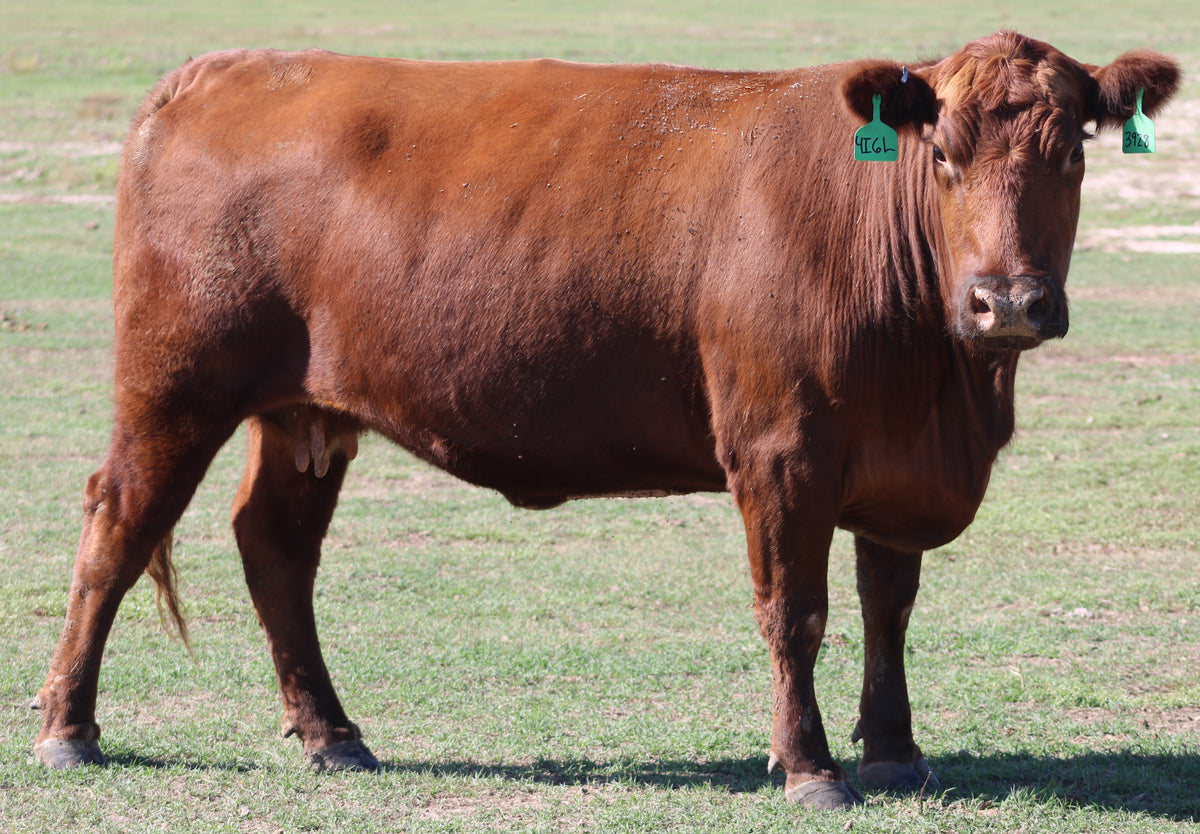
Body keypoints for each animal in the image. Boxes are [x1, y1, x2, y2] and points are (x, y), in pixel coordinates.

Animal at [32, 32, 1176, 811]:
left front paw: (895, 750)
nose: (1006, 302)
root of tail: (225, 69)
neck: (945, 388)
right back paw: (68, 728)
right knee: (118, 526)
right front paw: (812, 767)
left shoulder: (894, 466)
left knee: (274, 545)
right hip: (175, 387)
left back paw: (331, 733)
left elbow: (889, 606)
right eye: (942, 155)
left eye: (1073, 151)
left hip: (303, 410)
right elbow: (795, 613)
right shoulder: (781, 452)